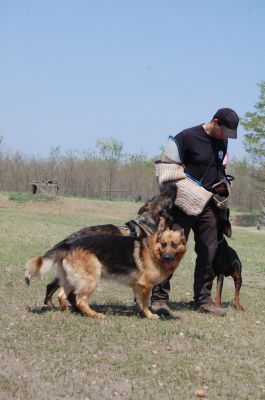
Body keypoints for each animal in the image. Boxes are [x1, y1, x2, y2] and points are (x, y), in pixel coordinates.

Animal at [24, 217, 186, 320]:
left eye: (174, 244)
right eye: (163, 244)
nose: (167, 258)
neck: (152, 250)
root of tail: (69, 244)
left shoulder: (138, 286)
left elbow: (140, 303)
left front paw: (142, 314)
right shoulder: (145, 286)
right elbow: (145, 303)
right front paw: (149, 315)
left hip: (71, 279)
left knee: (62, 295)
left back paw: (69, 311)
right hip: (91, 279)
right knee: (80, 300)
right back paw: (94, 315)